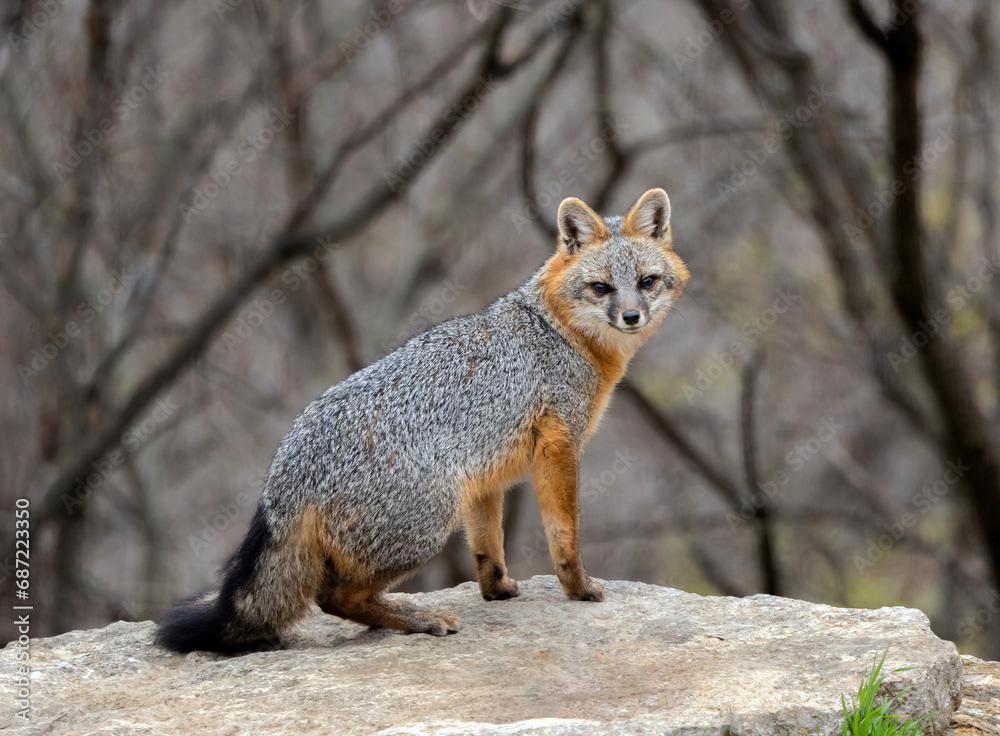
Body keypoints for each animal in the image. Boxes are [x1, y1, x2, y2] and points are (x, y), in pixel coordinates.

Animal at [156, 188, 689, 653]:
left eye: (646, 282)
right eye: (601, 288)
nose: (632, 317)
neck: (555, 330)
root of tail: (288, 467)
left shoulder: (485, 474)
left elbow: (487, 546)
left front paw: (498, 591)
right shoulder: (559, 448)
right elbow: (565, 536)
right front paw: (578, 588)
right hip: (429, 525)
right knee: (334, 597)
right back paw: (419, 618)